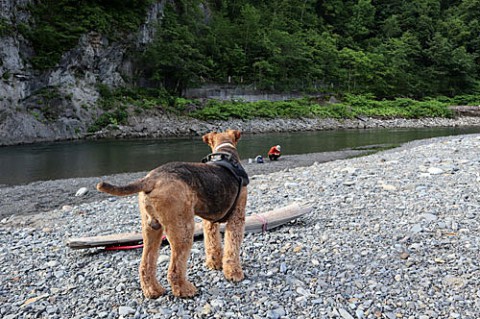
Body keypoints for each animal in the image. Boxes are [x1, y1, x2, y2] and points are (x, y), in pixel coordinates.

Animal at [96, 129, 249, 298]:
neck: (225, 152)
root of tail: (150, 180)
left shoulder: (209, 222)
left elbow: (212, 243)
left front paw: (215, 263)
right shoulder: (237, 217)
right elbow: (232, 247)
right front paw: (234, 273)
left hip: (151, 230)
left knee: (145, 265)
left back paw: (153, 290)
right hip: (183, 230)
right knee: (174, 270)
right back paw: (185, 289)